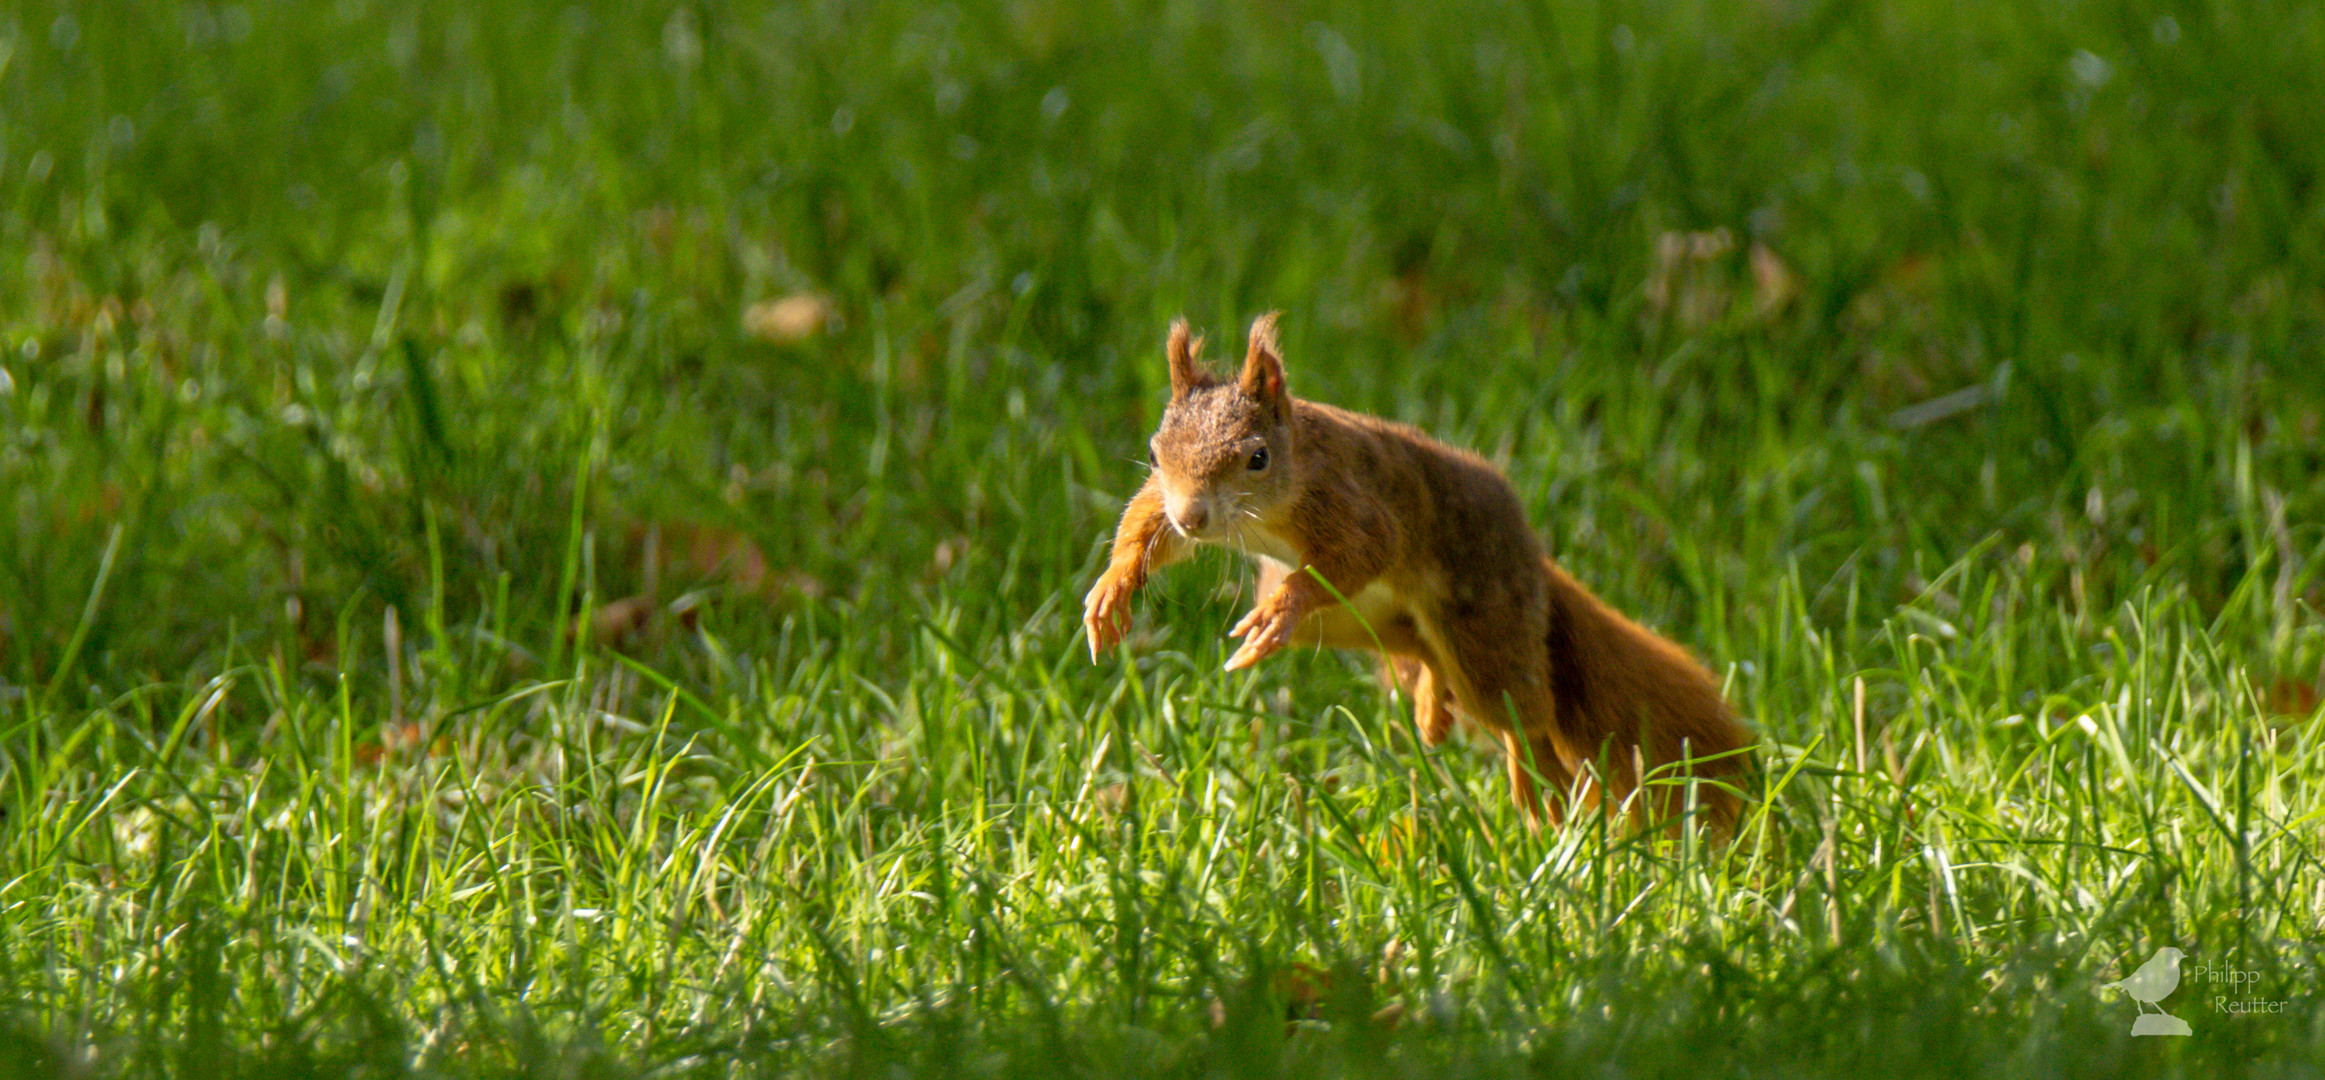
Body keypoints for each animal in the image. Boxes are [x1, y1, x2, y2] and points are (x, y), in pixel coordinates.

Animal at [1078, 313, 1748, 831]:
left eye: (1257, 458)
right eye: (1156, 451)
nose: (1193, 517)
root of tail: (1533, 558)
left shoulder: (1349, 508)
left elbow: (1361, 552)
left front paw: (1283, 605)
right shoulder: (1172, 505)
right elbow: (1146, 525)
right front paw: (1113, 589)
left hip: (1485, 629)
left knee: (1521, 714)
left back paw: (1537, 786)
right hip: (1349, 623)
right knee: (1420, 649)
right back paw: (1431, 702)